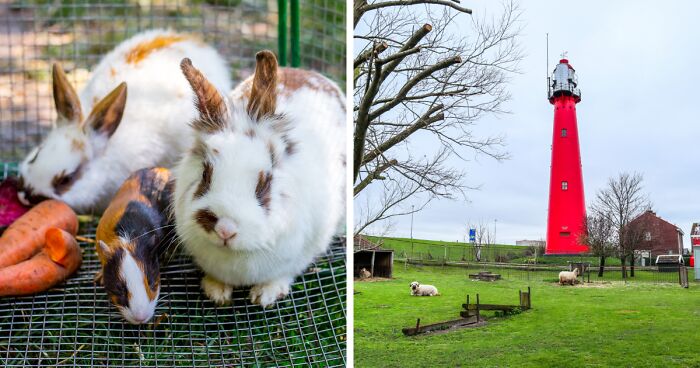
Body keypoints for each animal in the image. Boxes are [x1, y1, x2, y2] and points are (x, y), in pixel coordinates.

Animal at [174, 51, 346, 308]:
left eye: (264, 183)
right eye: (205, 174)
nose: (225, 229)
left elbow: (285, 273)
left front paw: (265, 296)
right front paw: (216, 292)